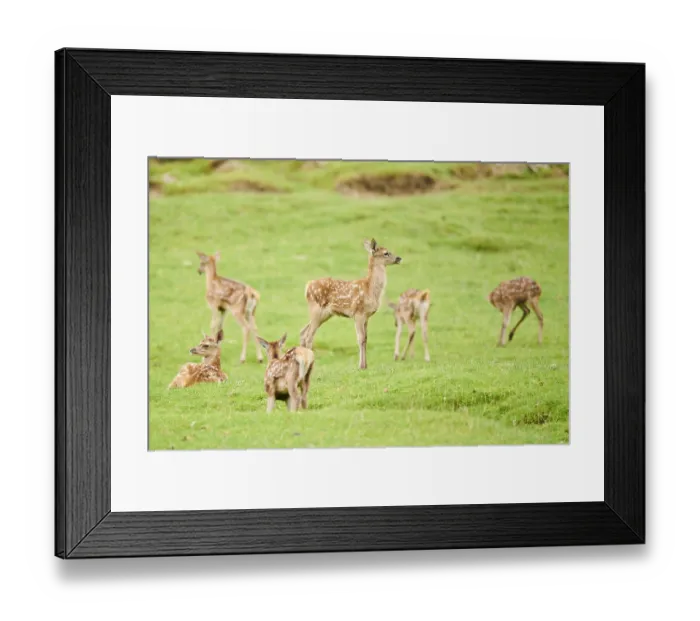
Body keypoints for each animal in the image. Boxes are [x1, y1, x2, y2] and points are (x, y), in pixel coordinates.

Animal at [299, 238, 402, 370]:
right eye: (386, 253)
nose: (399, 258)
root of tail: (307, 287)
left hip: (325, 314)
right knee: (309, 336)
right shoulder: (358, 313)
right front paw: (361, 366)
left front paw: (366, 365)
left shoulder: (367, 316)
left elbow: (366, 338)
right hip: (316, 308)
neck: (370, 289)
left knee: (303, 332)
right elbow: (361, 338)